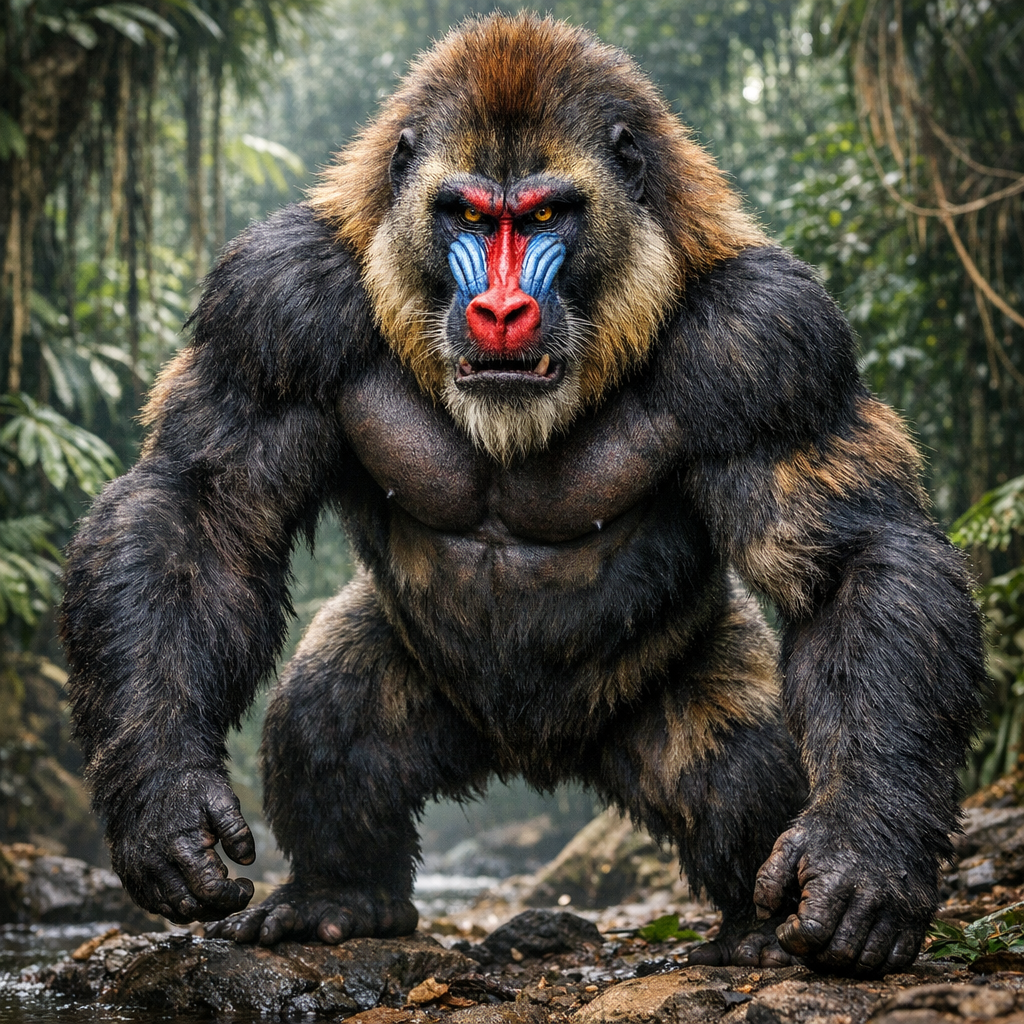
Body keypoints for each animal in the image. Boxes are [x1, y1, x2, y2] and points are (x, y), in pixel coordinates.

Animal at [60, 14, 984, 977]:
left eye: (543, 215)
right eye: (468, 214)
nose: (501, 309)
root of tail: (533, 758)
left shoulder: (770, 342)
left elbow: (855, 558)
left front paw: (864, 852)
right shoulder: (272, 301)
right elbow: (199, 511)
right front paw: (165, 797)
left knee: (741, 757)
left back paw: (760, 927)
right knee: (328, 716)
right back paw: (339, 899)